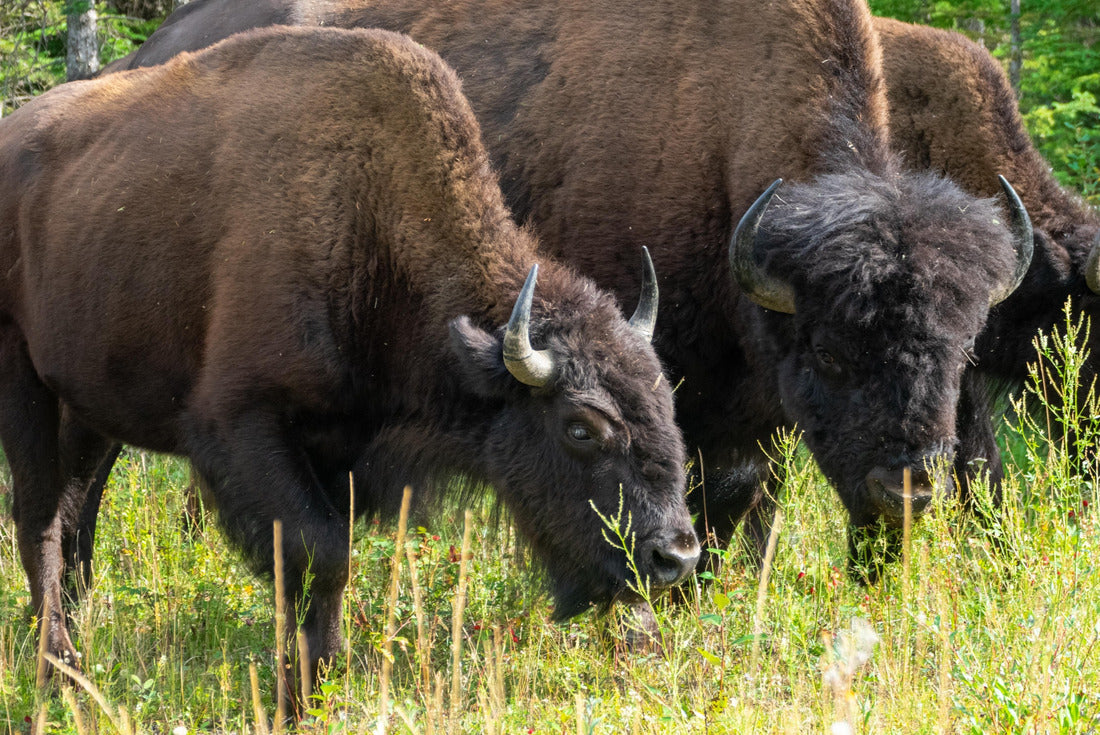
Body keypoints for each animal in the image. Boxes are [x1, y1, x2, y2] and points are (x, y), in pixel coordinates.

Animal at [0, 26, 700, 682]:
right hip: (23, 384)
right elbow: (324, 557)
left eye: (667, 405)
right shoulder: (241, 425)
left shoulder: (339, 451)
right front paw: (308, 688)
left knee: (73, 512)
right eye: (580, 427)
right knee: (38, 516)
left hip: (90, 408)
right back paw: (58, 666)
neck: (371, 215)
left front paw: (317, 678)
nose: (677, 557)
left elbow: (319, 571)